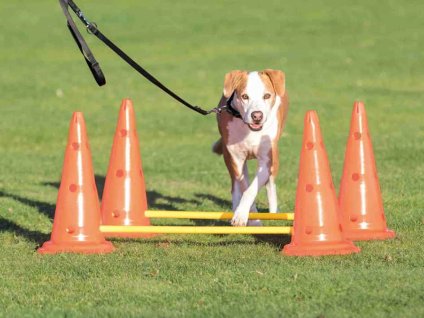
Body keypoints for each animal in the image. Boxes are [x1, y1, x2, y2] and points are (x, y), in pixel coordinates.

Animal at [212, 69, 288, 226]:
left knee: (271, 183)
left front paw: (244, 215)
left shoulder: (266, 161)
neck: (249, 130)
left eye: (267, 95)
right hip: (229, 157)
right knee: (235, 183)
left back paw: (274, 212)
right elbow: (244, 186)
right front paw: (249, 218)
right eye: (245, 96)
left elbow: (252, 189)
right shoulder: (236, 158)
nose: (257, 116)